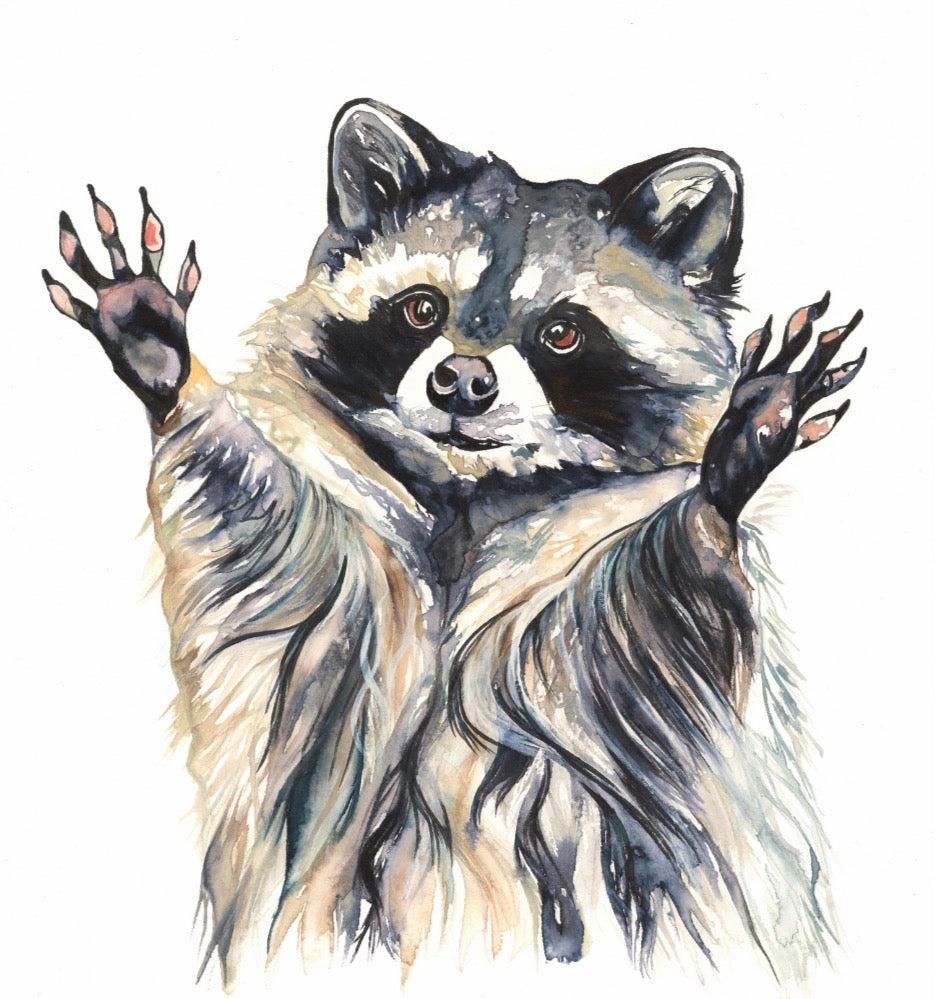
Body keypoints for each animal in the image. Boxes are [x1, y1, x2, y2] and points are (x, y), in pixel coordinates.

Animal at [43, 99, 864, 989]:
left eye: (562, 332)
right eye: (420, 310)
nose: (462, 382)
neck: (471, 492)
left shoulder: (598, 611)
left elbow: (659, 602)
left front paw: (723, 478)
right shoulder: (343, 584)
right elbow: (268, 530)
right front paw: (170, 371)